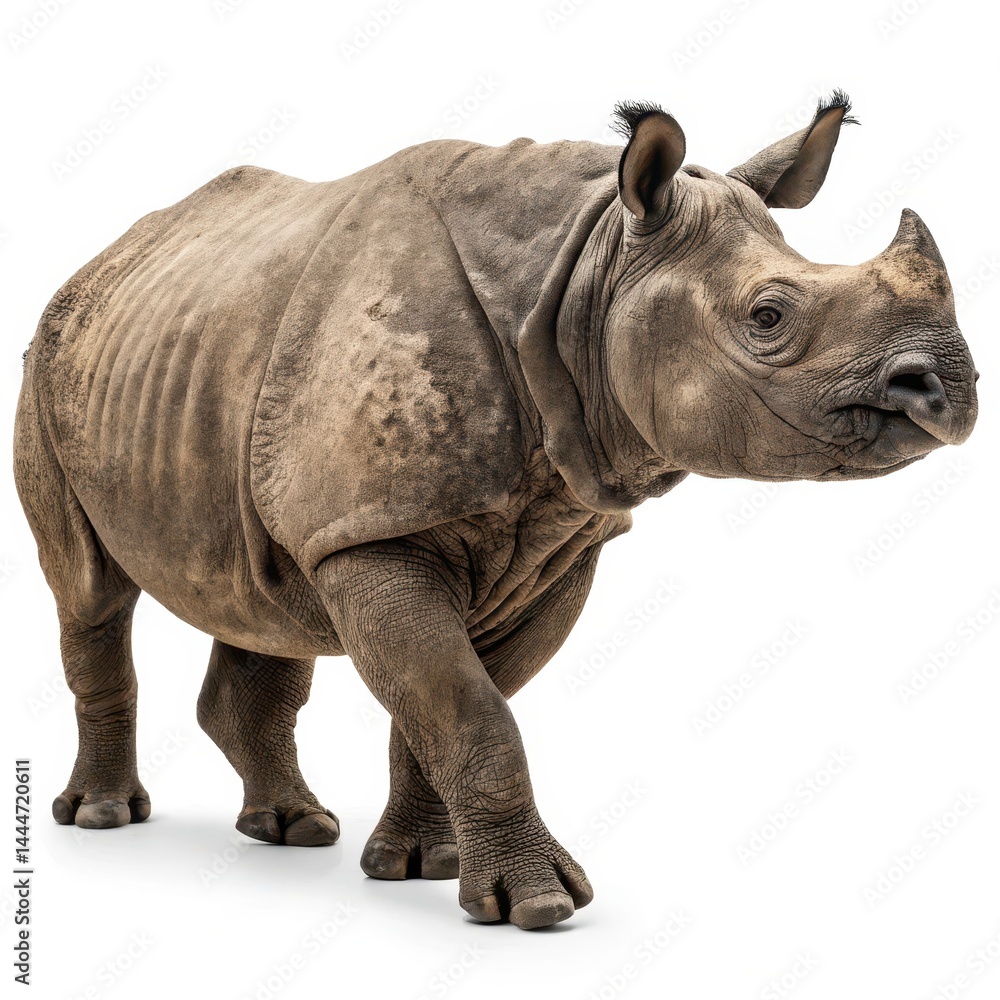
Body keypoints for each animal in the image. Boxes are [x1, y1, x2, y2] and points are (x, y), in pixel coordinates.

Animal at [13, 91, 978, 929]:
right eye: (768, 317)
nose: (948, 389)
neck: (587, 270)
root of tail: (103, 260)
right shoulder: (373, 534)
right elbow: (470, 711)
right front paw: (540, 908)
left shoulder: (557, 544)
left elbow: (445, 707)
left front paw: (422, 867)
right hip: (48, 365)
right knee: (90, 591)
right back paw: (103, 817)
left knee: (259, 597)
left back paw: (294, 829)